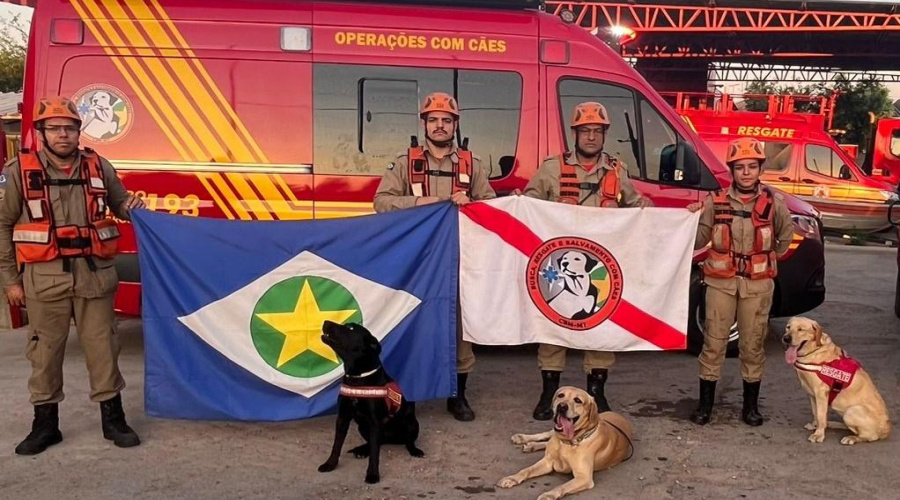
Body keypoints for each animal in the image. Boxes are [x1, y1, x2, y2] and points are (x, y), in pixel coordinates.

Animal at [320, 320, 426, 484]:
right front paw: (330, 464)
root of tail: (390, 438)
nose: (325, 321)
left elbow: (375, 454)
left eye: (350, 328)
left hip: (411, 422)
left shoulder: (375, 422)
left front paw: (372, 474)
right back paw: (362, 450)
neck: (357, 377)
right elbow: (336, 445)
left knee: (407, 441)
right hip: (363, 427)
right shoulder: (343, 418)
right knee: (373, 443)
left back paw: (414, 450)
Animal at [500, 386, 632, 500]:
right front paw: (512, 478)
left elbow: (562, 486)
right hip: (552, 432)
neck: (567, 442)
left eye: (578, 400)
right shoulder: (547, 462)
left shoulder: (584, 477)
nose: (562, 406)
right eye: (561, 395)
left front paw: (549, 494)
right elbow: (527, 470)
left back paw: (532, 445)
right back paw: (524, 439)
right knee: (546, 435)